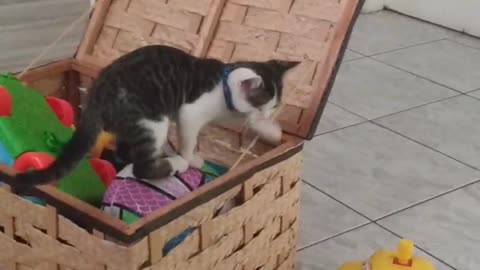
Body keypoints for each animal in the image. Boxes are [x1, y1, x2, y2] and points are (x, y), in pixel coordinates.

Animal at [1, 43, 298, 192]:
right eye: (262, 105)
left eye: (275, 105)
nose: (270, 112)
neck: (222, 84)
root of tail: (97, 96)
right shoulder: (189, 112)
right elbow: (189, 137)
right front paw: (191, 157)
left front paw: (271, 130)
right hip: (151, 119)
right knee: (142, 167)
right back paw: (175, 163)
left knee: (125, 152)